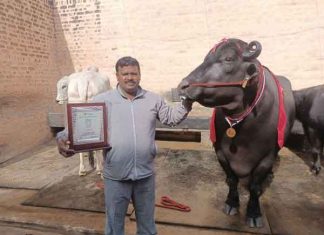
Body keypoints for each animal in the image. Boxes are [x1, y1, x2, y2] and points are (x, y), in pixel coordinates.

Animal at [177, 38, 296, 228]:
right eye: (205, 58)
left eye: (228, 59)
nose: (183, 86)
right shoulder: (220, 151)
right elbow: (232, 180)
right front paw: (231, 203)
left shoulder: (267, 156)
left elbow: (254, 186)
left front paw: (254, 213)